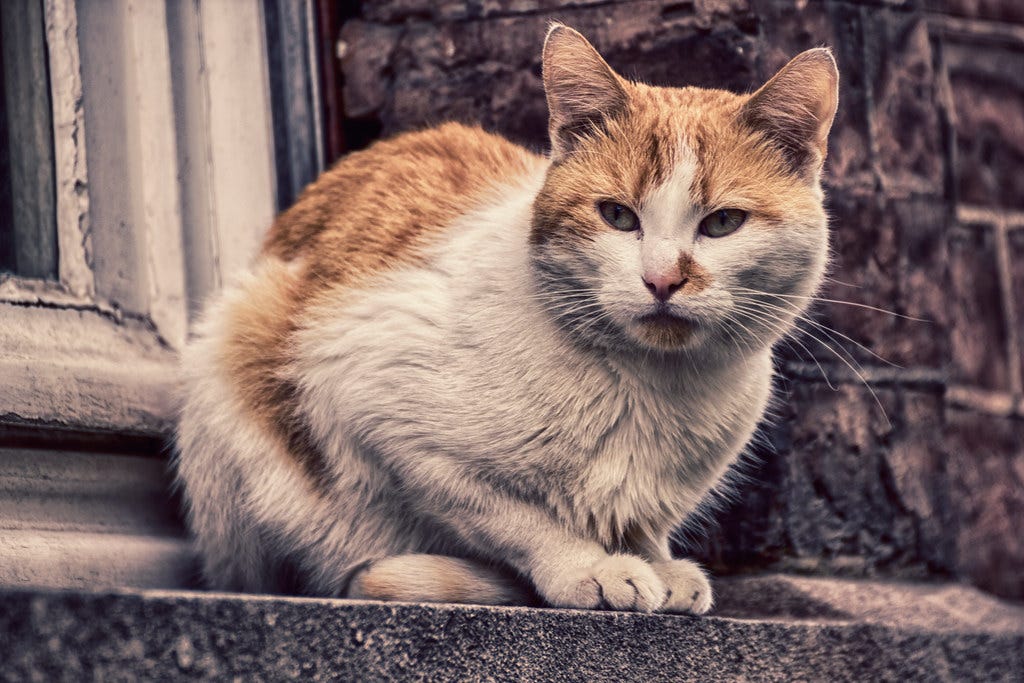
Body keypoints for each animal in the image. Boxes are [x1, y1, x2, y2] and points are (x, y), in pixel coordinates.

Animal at [172, 25, 835, 614]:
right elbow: (514, 516)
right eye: (618, 216)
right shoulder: (376, 402)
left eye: (723, 223)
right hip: (236, 346)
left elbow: (641, 522)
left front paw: (658, 562)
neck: (651, 386)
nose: (663, 280)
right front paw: (588, 567)